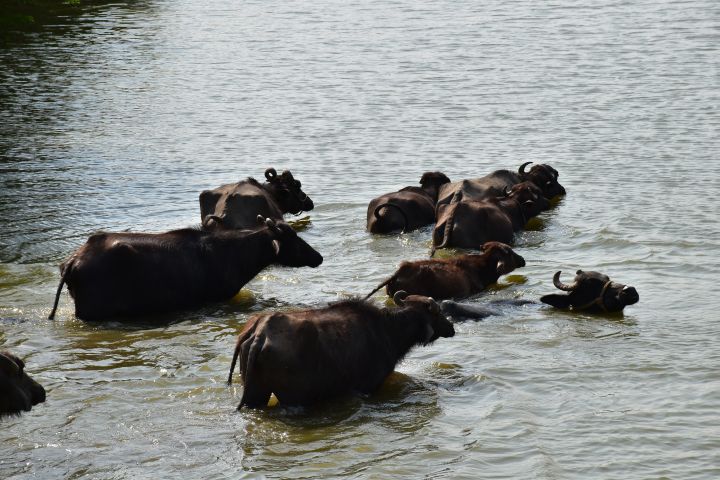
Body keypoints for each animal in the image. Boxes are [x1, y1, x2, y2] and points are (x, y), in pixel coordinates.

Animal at [229, 290, 456, 406]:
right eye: (436, 312)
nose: (451, 327)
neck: (386, 329)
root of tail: (260, 333)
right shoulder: (368, 386)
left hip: (256, 391)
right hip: (292, 396)